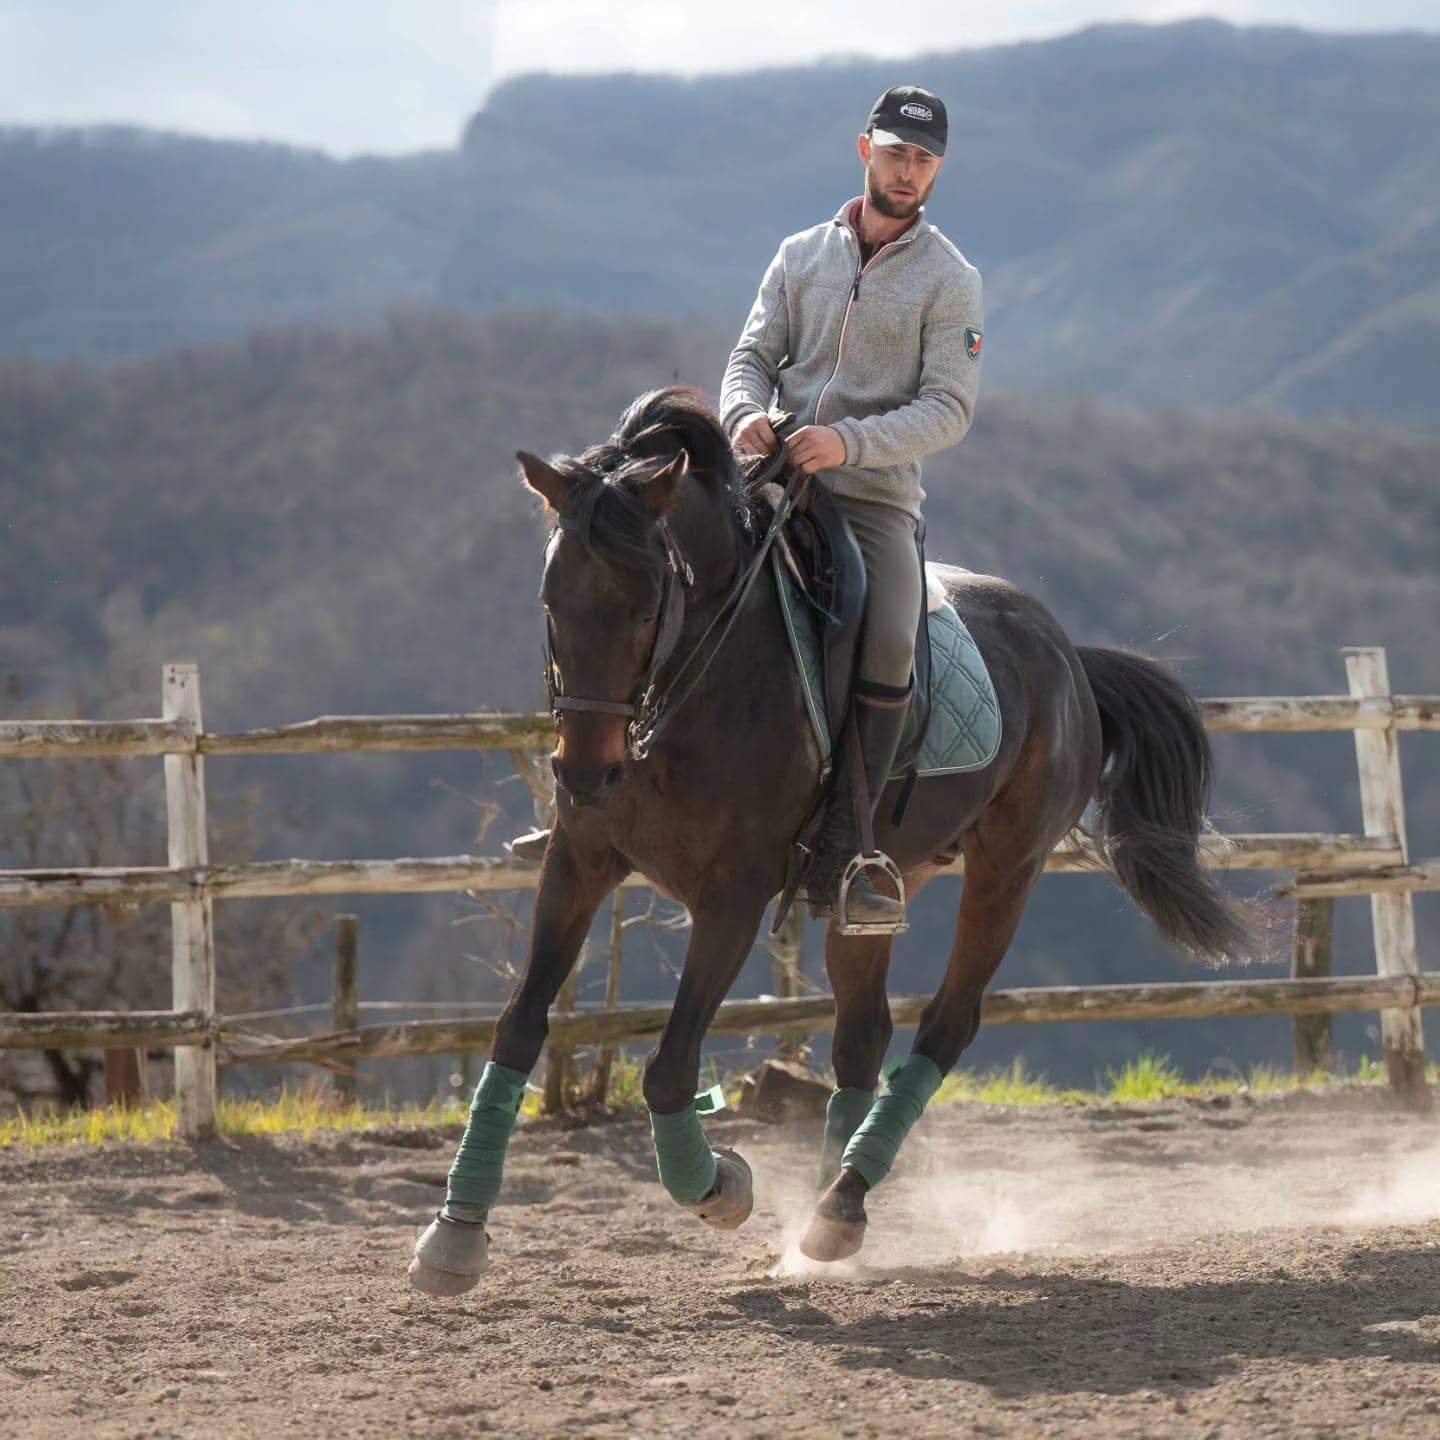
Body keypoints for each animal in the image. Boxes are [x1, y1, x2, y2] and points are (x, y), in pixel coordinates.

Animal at [408, 385, 1261, 1296]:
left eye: (644, 608)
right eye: (551, 605)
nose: (585, 775)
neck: (699, 683)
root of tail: (1068, 655)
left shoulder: (734, 897)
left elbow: (669, 1068)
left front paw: (721, 1188)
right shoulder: (580, 863)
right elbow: (518, 1027)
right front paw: (454, 1235)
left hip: (1008, 868)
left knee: (944, 1025)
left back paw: (840, 1203)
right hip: (889, 879)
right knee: (864, 1033)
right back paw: (831, 1215)